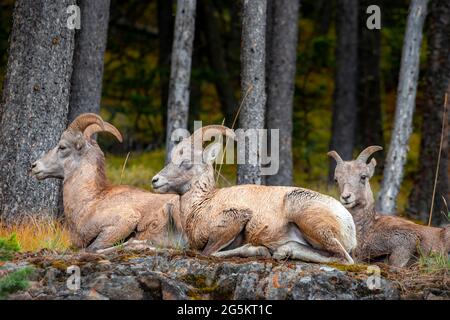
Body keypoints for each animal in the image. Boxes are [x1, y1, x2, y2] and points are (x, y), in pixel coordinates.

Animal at [30, 114, 184, 251]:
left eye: (62, 147)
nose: (34, 166)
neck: (89, 202)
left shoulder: (124, 221)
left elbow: (93, 248)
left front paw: (140, 244)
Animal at [153, 125, 356, 264]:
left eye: (186, 162)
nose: (155, 180)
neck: (201, 205)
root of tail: (348, 222)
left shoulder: (235, 219)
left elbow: (208, 252)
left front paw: (257, 250)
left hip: (310, 221)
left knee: (343, 257)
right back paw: (282, 252)